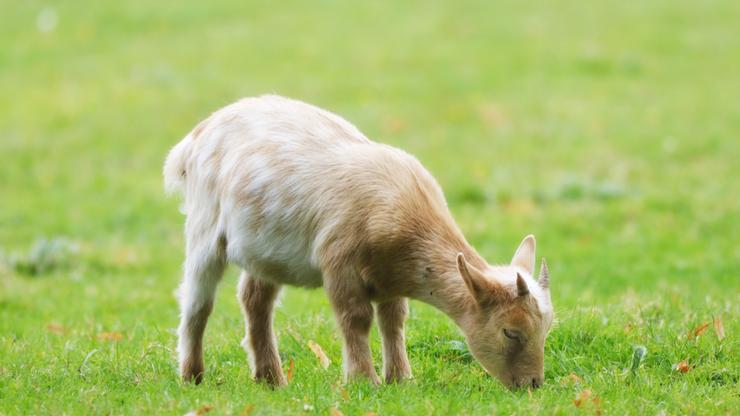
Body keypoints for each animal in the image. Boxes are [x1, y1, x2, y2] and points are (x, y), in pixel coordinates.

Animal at [165, 96, 552, 388]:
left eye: (546, 329)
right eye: (511, 332)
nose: (532, 384)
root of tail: (195, 137)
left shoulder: (390, 275)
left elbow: (393, 320)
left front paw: (400, 379)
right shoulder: (339, 261)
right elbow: (356, 318)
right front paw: (363, 380)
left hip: (265, 249)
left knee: (254, 300)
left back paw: (271, 379)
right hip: (204, 226)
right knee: (197, 302)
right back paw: (192, 375)